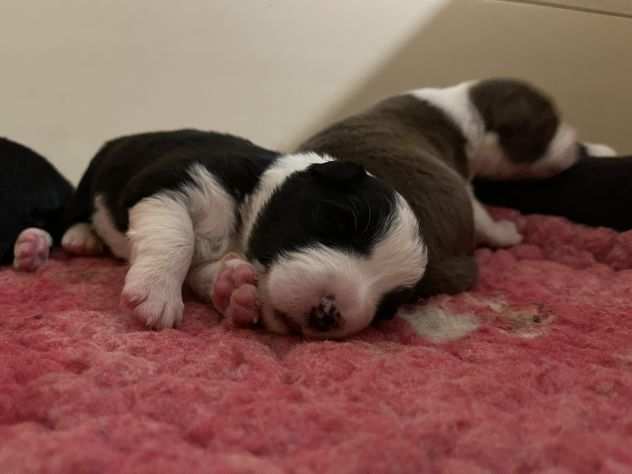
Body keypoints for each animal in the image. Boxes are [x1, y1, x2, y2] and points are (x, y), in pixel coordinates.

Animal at [24, 130, 428, 336]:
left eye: (387, 308)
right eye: (339, 219)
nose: (327, 315)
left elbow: (208, 271)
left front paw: (235, 289)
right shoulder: (167, 179)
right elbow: (179, 237)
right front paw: (157, 295)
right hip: (91, 179)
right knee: (71, 214)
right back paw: (69, 238)